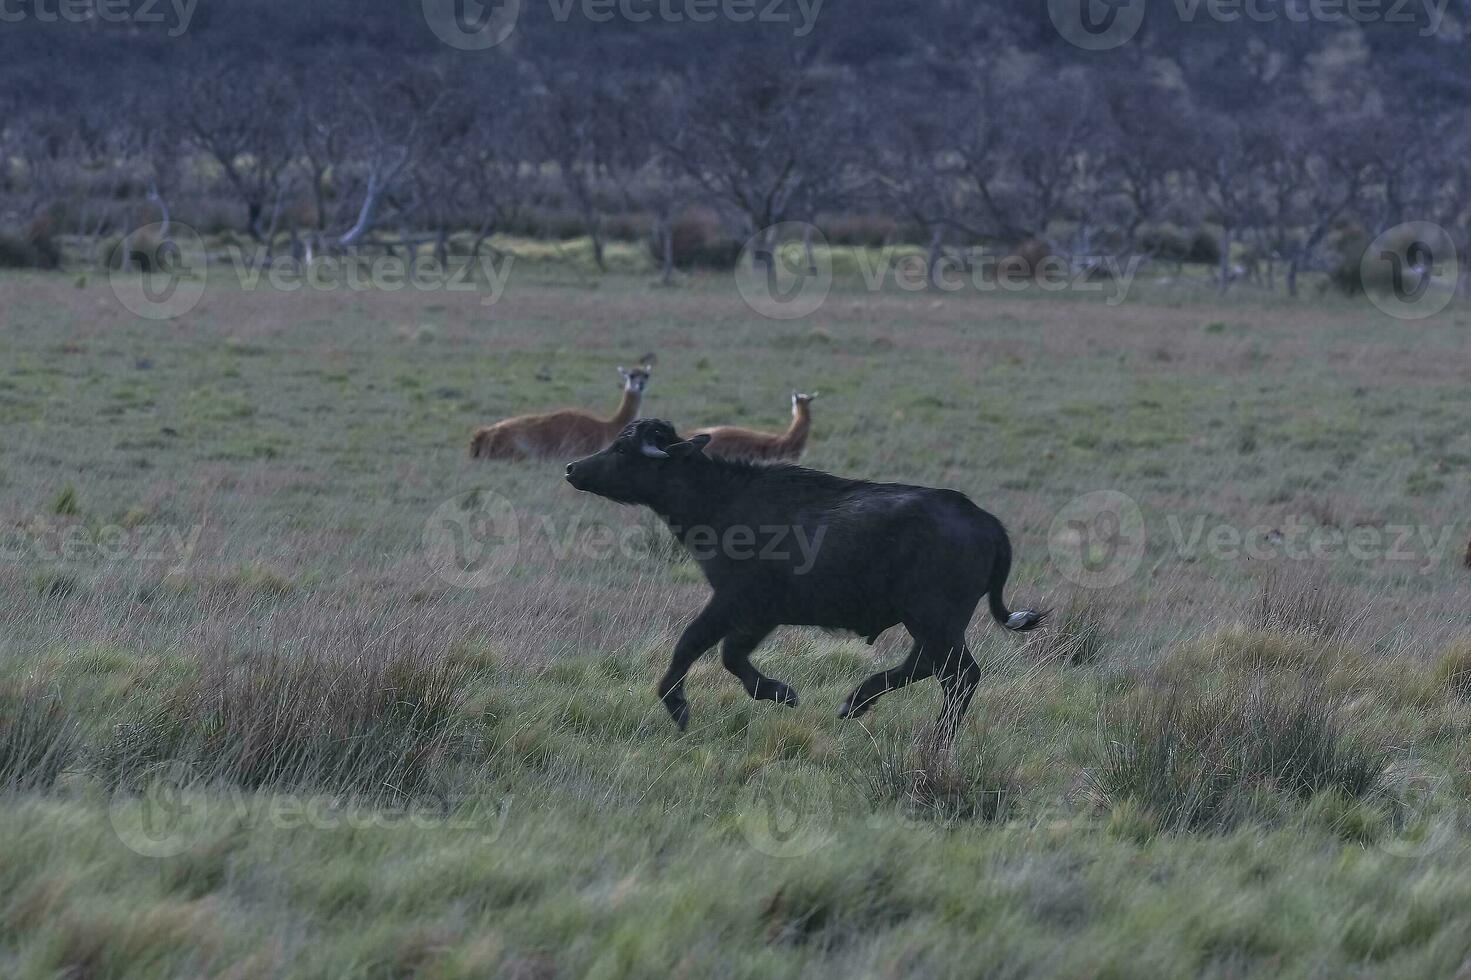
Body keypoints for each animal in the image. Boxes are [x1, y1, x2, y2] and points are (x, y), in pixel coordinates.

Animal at [564, 417, 1047, 732]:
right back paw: (855, 703)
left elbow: (692, 645)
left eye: (622, 449)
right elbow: (730, 656)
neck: (723, 499)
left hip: (936, 620)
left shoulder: (733, 602)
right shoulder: (760, 616)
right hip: (928, 624)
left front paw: (680, 707)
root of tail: (985, 521)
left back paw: (938, 735)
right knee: (925, 666)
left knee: (960, 677)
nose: (572, 468)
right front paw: (778, 692)